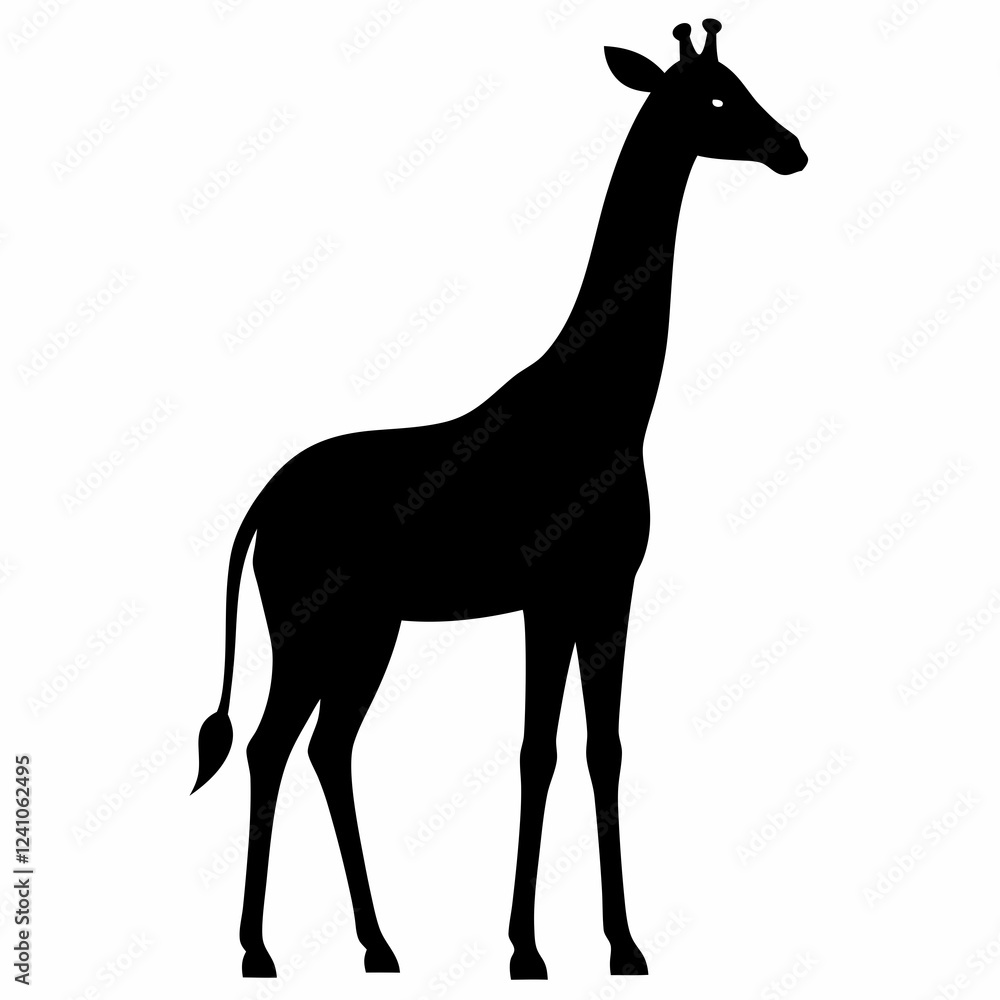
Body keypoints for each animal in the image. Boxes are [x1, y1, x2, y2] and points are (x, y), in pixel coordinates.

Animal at [192, 19, 806, 981]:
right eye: (715, 96)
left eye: (743, 84)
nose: (792, 150)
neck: (608, 403)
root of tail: (262, 503)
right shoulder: (549, 595)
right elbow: (535, 752)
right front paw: (526, 949)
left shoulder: (608, 592)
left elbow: (601, 749)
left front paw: (621, 945)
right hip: (307, 624)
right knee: (268, 746)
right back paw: (258, 952)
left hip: (368, 629)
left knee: (328, 748)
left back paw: (378, 945)